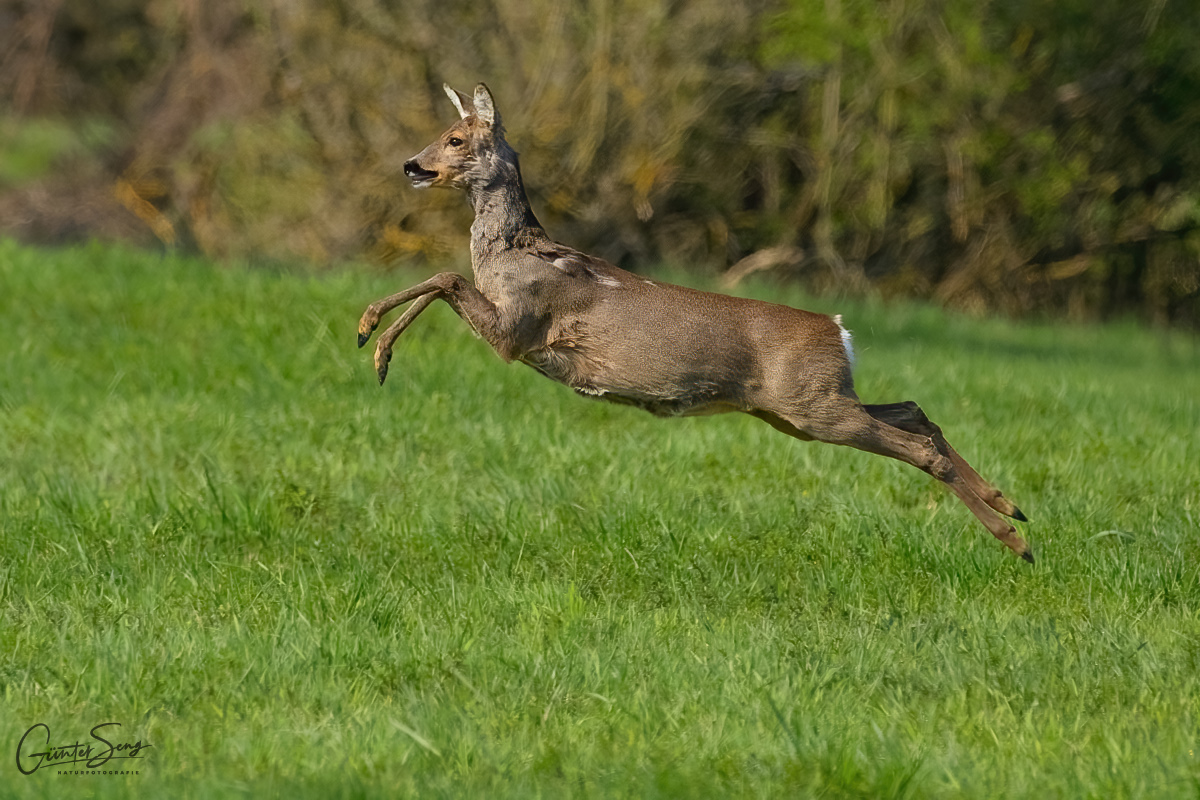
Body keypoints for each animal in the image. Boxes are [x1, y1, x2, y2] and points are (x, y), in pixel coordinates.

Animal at [357, 82, 1032, 563]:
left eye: (454, 139)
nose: (411, 165)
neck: (513, 251)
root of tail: (838, 330)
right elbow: (443, 279)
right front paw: (372, 341)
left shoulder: (518, 330)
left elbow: (445, 277)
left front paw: (372, 339)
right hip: (800, 408)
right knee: (916, 412)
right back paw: (1014, 509)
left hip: (811, 404)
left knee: (919, 446)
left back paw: (1018, 543)